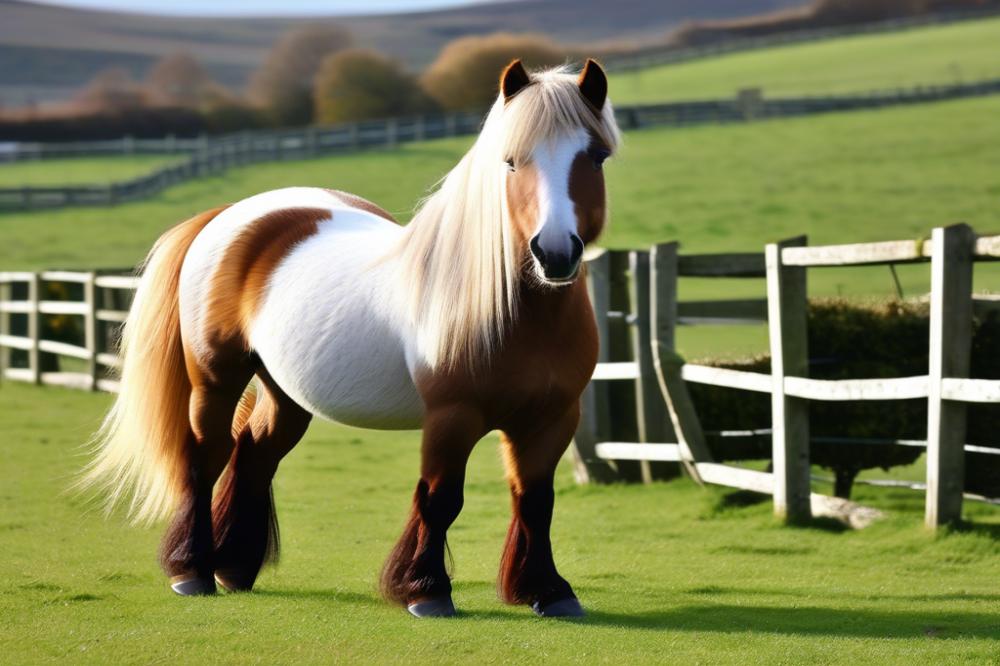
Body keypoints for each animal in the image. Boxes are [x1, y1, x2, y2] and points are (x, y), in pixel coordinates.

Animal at [84, 61, 616, 616]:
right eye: (510, 162)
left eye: (596, 155)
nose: (554, 253)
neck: (517, 312)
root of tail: (230, 214)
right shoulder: (452, 417)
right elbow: (441, 497)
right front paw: (425, 590)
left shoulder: (553, 418)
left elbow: (535, 499)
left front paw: (547, 590)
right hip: (215, 379)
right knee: (205, 457)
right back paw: (192, 570)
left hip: (285, 391)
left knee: (254, 452)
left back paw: (234, 568)